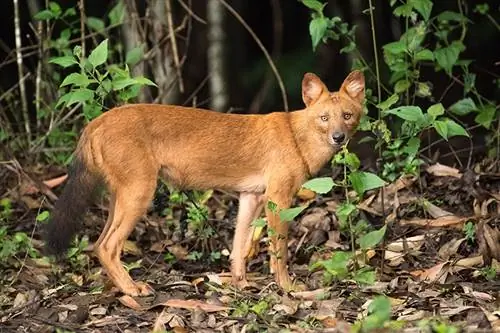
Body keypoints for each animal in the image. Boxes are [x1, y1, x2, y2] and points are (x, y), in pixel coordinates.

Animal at [45, 70, 366, 296]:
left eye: (347, 116)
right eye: (324, 118)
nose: (339, 137)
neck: (297, 136)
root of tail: (95, 122)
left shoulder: (251, 196)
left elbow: (239, 248)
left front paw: (240, 284)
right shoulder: (278, 199)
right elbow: (279, 251)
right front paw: (286, 287)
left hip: (120, 197)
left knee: (97, 244)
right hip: (139, 194)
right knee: (108, 246)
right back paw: (132, 290)